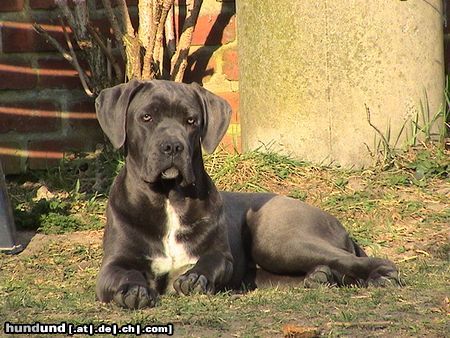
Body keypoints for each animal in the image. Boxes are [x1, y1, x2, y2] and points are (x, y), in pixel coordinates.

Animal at [94, 80, 398, 308]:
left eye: (191, 120)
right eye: (146, 117)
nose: (172, 146)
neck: (168, 198)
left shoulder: (220, 256)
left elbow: (212, 262)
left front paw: (195, 278)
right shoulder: (113, 264)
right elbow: (123, 274)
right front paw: (133, 290)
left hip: (278, 239)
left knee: (351, 259)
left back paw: (382, 274)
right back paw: (320, 277)